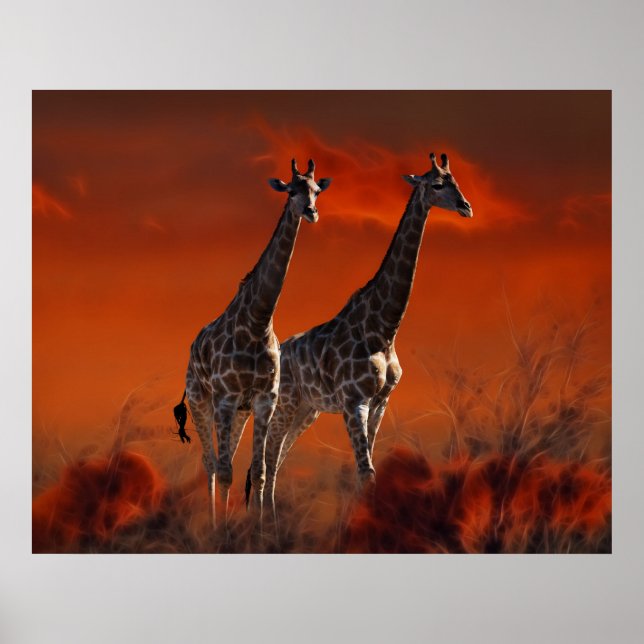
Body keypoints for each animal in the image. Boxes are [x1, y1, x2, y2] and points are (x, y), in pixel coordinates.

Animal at [184, 158, 331, 527]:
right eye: (291, 190)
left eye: (316, 190)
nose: (311, 212)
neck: (259, 319)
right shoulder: (225, 397)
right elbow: (225, 471)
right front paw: (223, 532)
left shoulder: (265, 399)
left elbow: (260, 471)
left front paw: (260, 531)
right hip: (200, 399)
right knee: (211, 463)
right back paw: (212, 522)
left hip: (239, 412)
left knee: (224, 460)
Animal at [262, 152, 473, 519]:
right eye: (436, 185)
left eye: (455, 181)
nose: (466, 207)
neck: (384, 328)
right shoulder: (353, 401)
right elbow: (366, 471)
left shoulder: (381, 401)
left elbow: (369, 469)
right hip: (287, 403)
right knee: (270, 457)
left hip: (307, 409)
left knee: (280, 456)